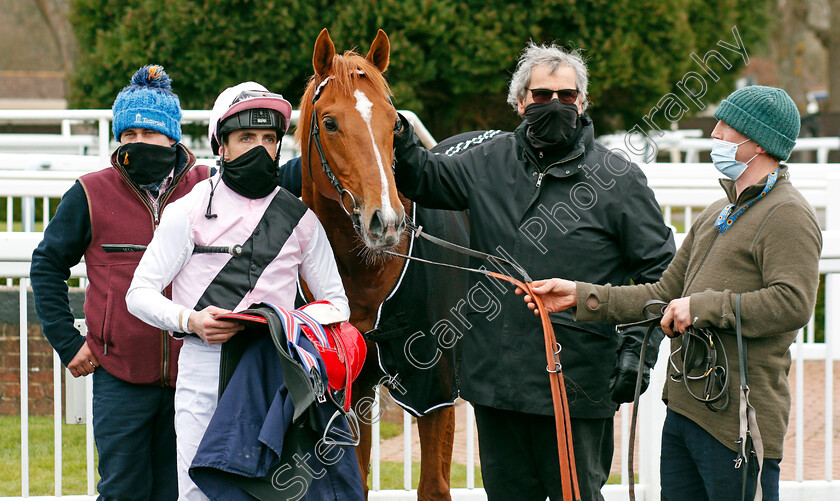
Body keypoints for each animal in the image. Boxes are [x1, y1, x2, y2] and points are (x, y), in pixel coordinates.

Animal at [294, 29, 456, 498]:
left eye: (394, 122)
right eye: (330, 122)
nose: (386, 222)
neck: (368, 272)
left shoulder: (435, 386)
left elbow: (434, 485)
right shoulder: (355, 385)